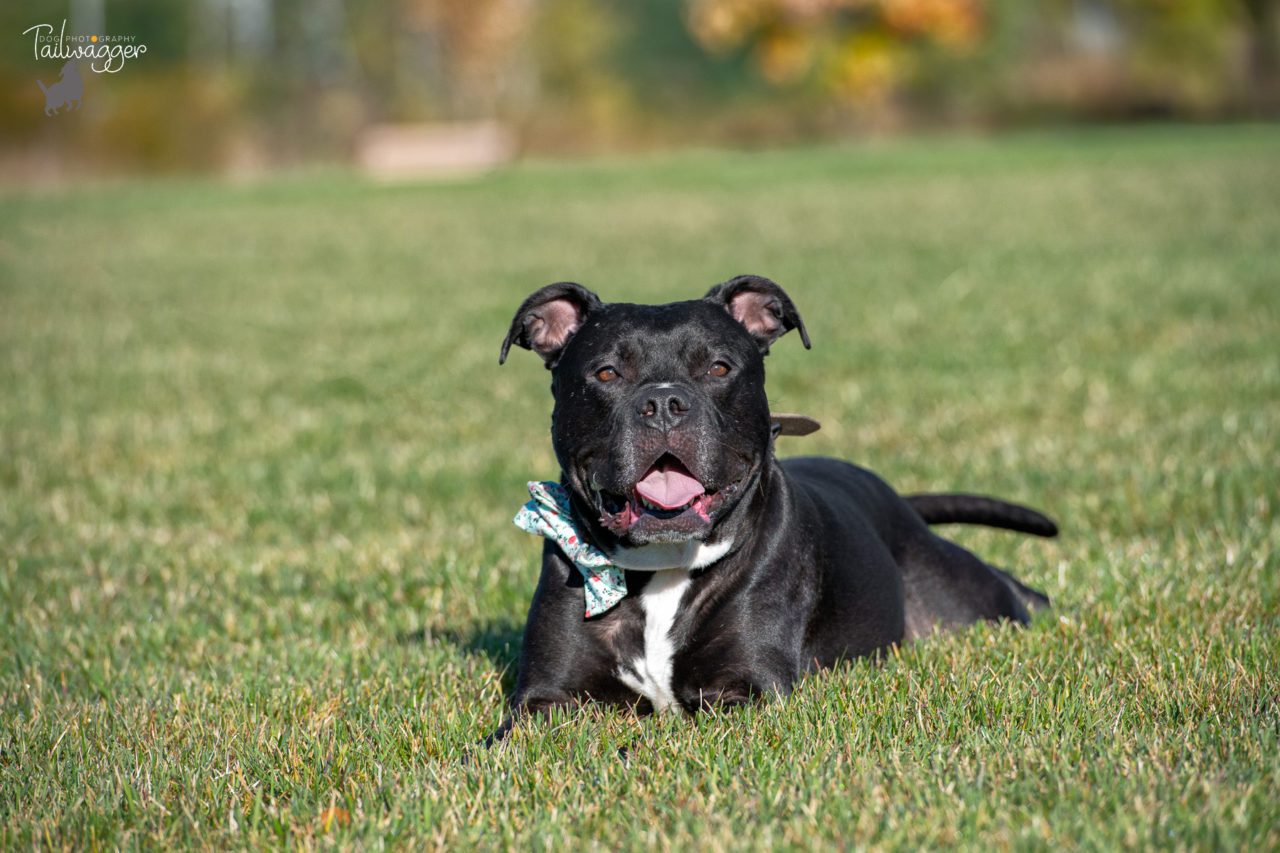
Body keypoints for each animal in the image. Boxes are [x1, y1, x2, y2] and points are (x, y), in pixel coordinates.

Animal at [486, 275, 1049, 742]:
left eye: (718, 367)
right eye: (606, 373)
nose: (664, 403)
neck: (662, 569)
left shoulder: (747, 692)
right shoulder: (546, 698)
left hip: (968, 598)